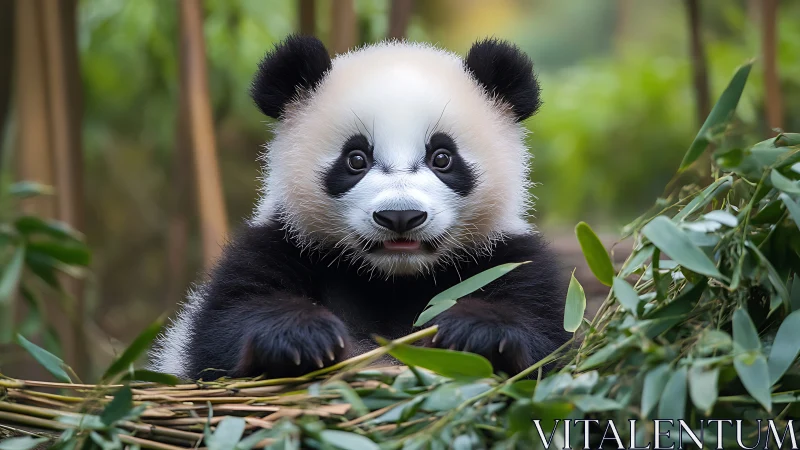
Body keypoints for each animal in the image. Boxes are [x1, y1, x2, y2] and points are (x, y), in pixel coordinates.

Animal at [149, 35, 570, 380]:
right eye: (355, 159)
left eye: (442, 158)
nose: (400, 216)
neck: (391, 278)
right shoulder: (281, 243)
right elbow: (224, 326)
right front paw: (303, 336)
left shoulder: (507, 257)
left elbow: (545, 335)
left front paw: (474, 333)